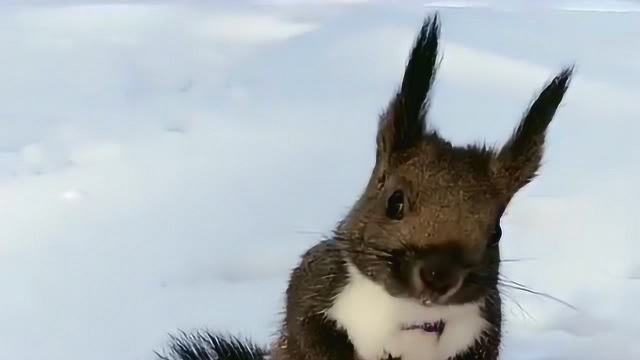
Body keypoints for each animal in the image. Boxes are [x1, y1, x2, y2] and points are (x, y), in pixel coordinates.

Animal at [156, 12, 576, 360]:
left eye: (495, 233)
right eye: (395, 202)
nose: (439, 277)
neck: (410, 315)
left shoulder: (485, 328)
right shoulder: (315, 285)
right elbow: (308, 331)